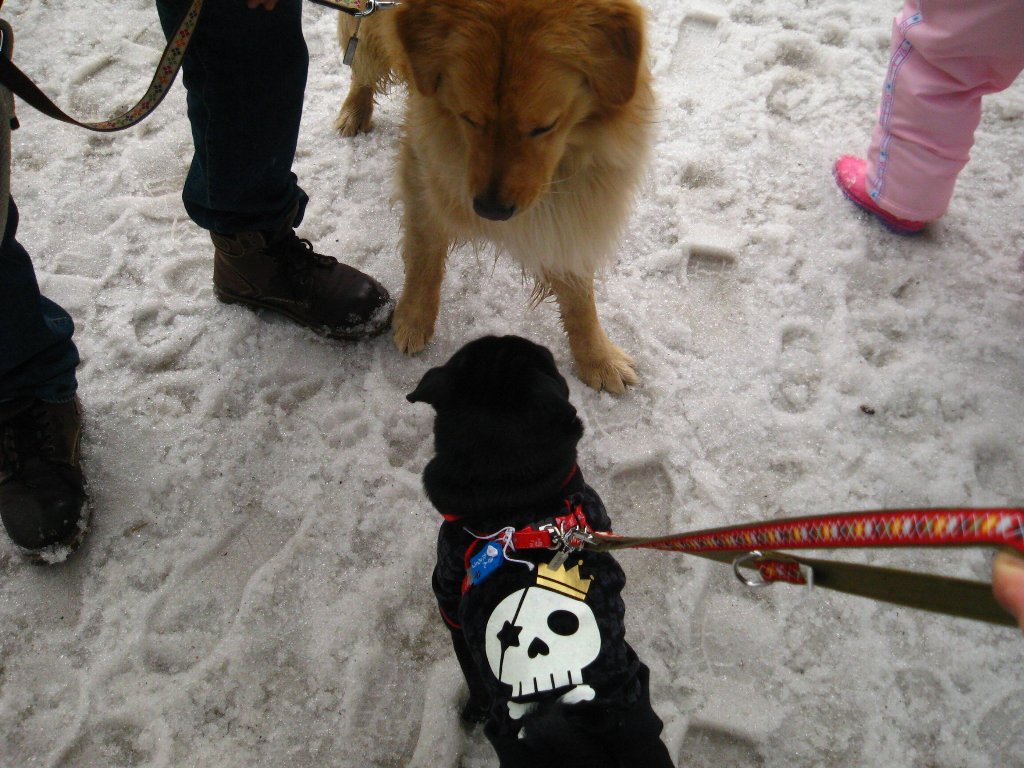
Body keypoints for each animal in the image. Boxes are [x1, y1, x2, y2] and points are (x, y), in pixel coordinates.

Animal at [338, 0, 654, 393]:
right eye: (469, 118)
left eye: (544, 127)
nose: (491, 210)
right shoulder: (425, 163)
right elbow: (425, 253)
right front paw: (414, 316)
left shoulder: (573, 203)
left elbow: (577, 290)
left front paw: (596, 356)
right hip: (366, 25)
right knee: (360, 55)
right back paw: (355, 108)